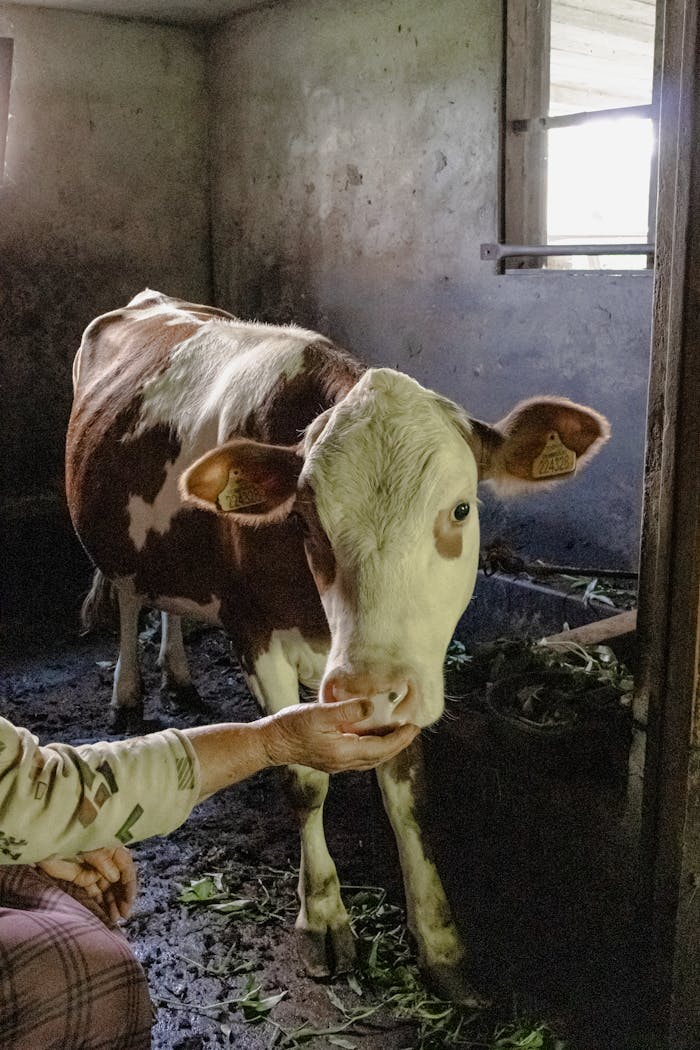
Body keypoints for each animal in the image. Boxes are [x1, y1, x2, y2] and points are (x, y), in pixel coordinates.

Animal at [66, 289, 610, 1003]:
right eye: (305, 522)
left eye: (461, 509)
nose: (368, 691)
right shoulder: (254, 633)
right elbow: (304, 779)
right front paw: (323, 917)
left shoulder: (412, 667)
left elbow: (408, 793)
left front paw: (439, 941)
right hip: (119, 540)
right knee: (130, 598)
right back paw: (128, 691)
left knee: (169, 602)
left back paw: (178, 675)